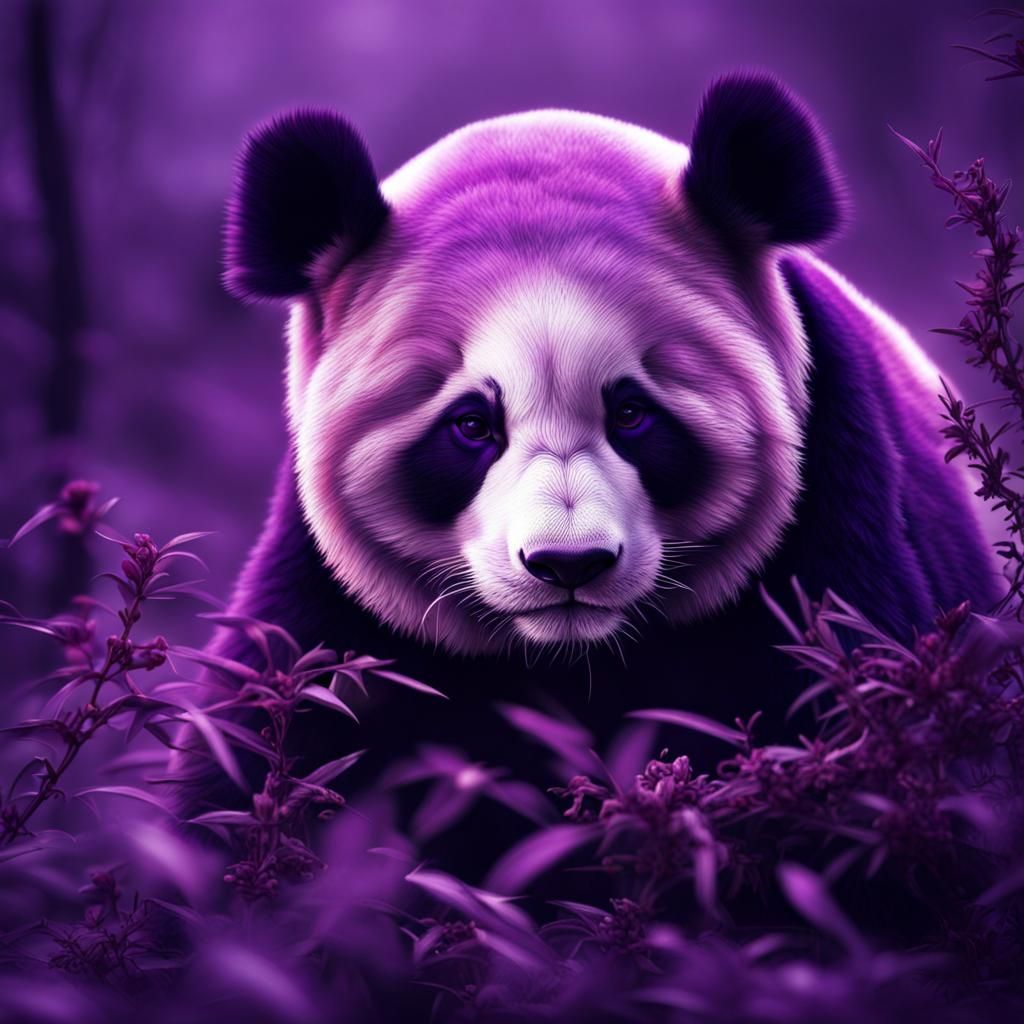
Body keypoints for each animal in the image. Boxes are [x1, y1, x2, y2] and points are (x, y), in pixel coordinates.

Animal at [188, 74, 1001, 865]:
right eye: (472, 425)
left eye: (632, 414)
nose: (568, 564)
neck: (572, 662)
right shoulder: (335, 621)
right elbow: (262, 759)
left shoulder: (834, 523)